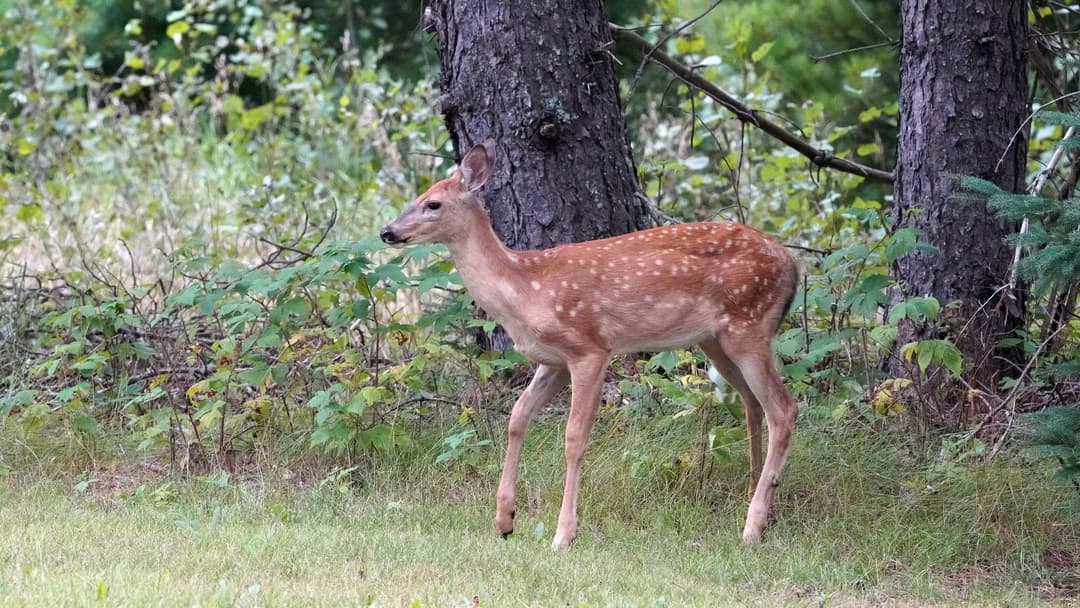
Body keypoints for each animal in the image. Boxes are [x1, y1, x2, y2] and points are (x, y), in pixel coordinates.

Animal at [380, 141, 800, 548]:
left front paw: (563, 534)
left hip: (747, 324)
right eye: (417, 197)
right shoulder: (553, 361)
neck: (526, 291)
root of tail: (792, 265)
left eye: (433, 204)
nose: (387, 232)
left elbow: (574, 437)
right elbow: (517, 418)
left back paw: (752, 526)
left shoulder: (589, 348)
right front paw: (504, 520)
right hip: (715, 338)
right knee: (752, 404)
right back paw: (756, 498)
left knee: (784, 408)